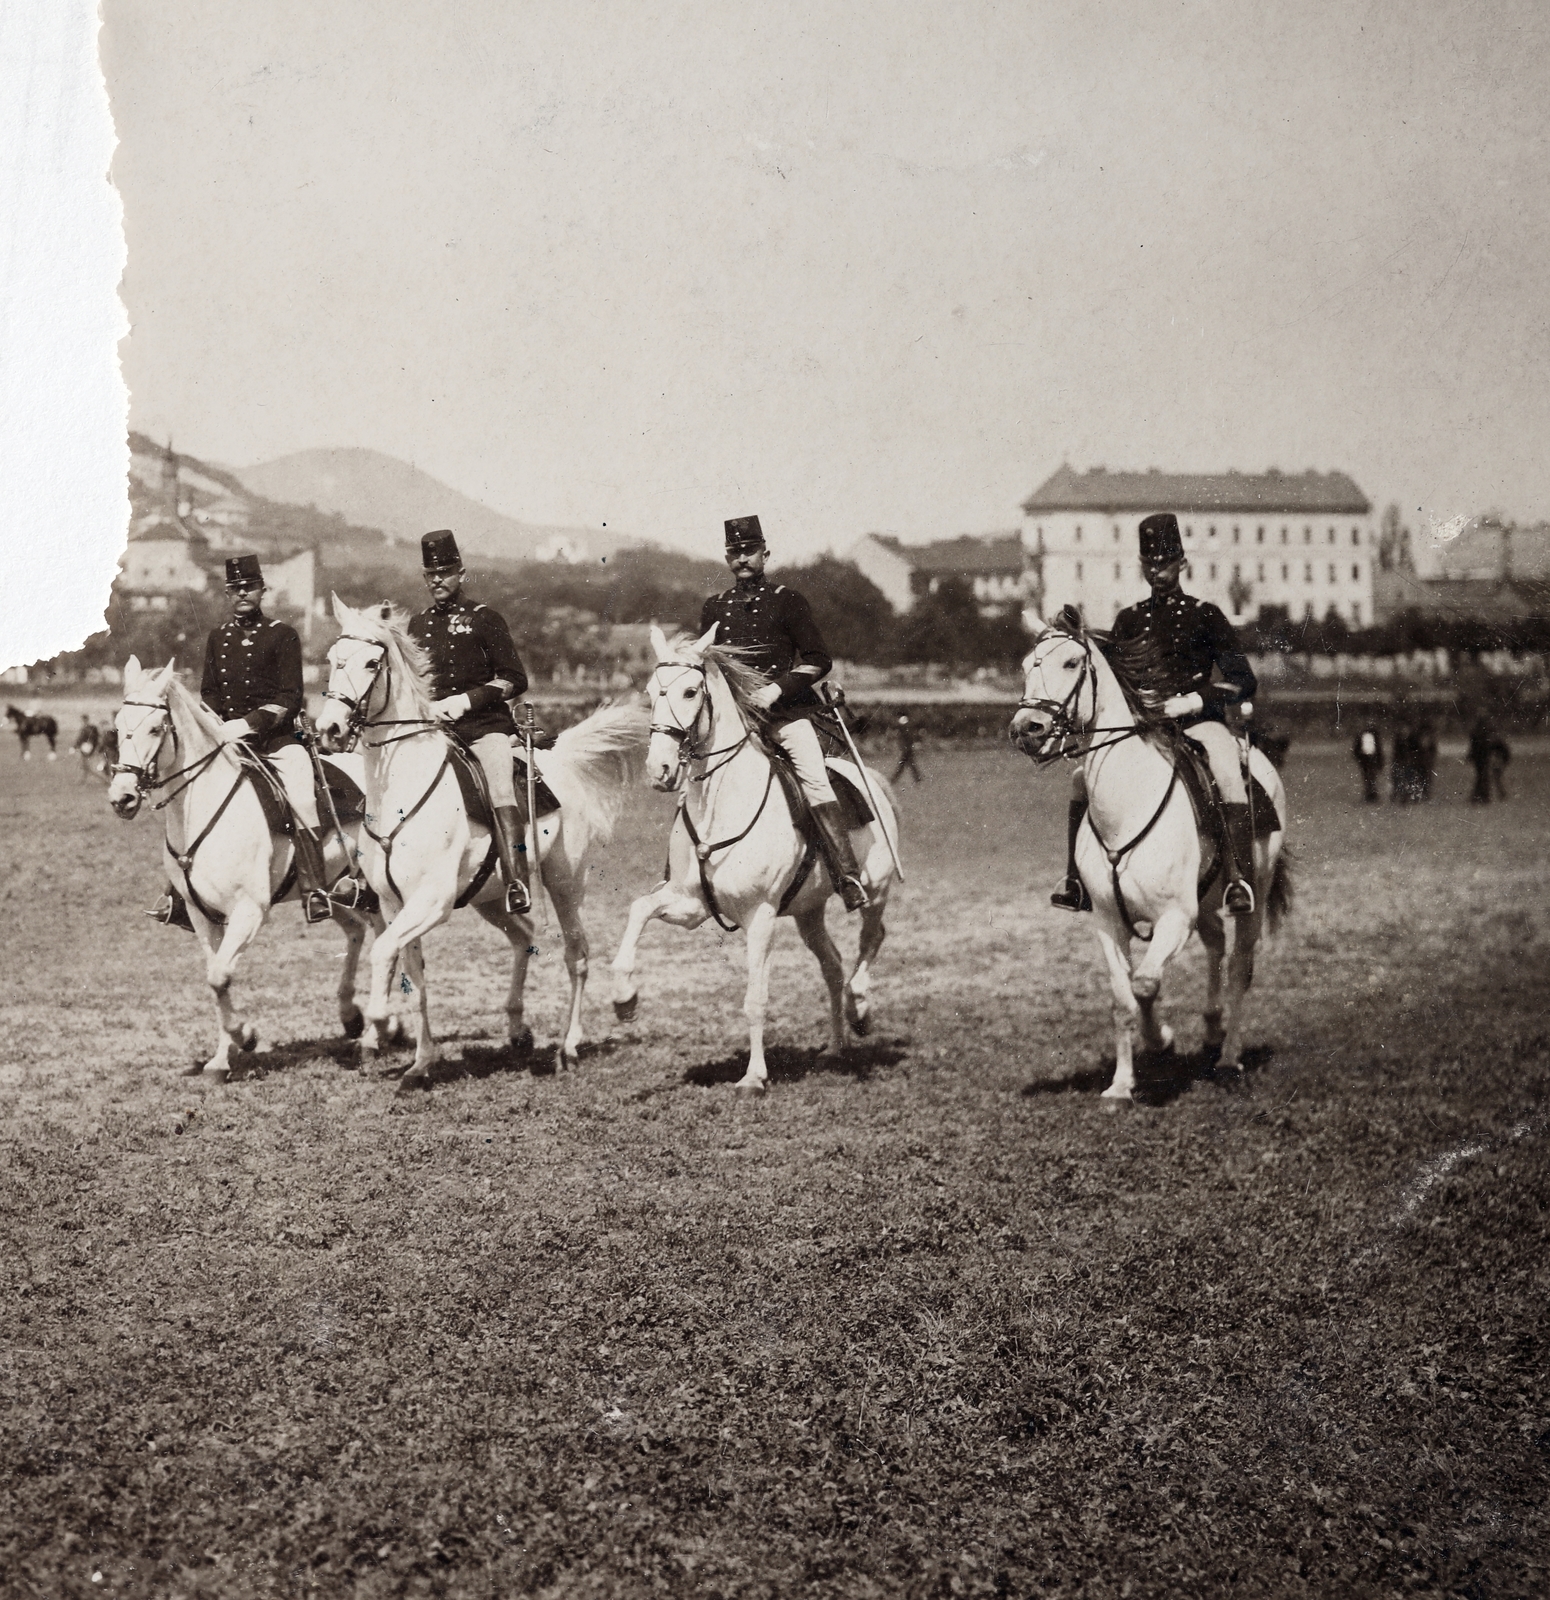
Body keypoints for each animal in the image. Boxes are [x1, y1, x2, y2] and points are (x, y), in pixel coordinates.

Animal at [107, 656, 382, 1081]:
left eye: (155, 728)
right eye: (118, 727)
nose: (121, 798)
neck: (202, 807)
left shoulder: (249, 911)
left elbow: (220, 975)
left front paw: (247, 1036)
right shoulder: (203, 917)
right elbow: (216, 978)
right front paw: (221, 1059)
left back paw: (379, 1033)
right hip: (336, 889)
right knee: (358, 930)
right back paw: (353, 1017)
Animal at [311, 595, 649, 1094]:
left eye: (373, 662)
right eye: (333, 659)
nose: (330, 729)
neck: (402, 791)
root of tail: (562, 759)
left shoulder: (432, 902)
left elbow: (383, 951)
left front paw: (377, 1022)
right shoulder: (395, 904)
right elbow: (414, 971)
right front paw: (420, 1063)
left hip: (565, 882)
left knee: (578, 954)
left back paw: (569, 1046)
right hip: (491, 897)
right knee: (524, 935)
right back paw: (518, 1030)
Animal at [604, 617, 895, 1094]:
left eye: (690, 691)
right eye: (649, 692)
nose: (658, 771)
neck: (721, 805)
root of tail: (864, 774)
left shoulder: (760, 915)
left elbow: (755, 998)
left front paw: (754, 1076)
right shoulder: (690, 904)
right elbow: (638, 908)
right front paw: (624, 998)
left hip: (876, 889)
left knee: (872, 938)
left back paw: (861, 1007)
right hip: (808, 911)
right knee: (833, 966)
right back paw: (835, 1047)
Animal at [1004, 611, 1292, 1100]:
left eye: (1071, 663)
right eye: (1026, 665)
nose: (1027, 729)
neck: (1127, 806)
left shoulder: (1174, 917)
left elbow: (1144, 983)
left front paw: (1162, 1039)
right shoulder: (1108, 923)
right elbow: (1123, 1000)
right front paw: (1121, 1085)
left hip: (1253, 888)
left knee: (1238, 967)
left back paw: (1228, 1058)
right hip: (1205, 901)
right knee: (1216, 943)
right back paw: (1211, 1030)